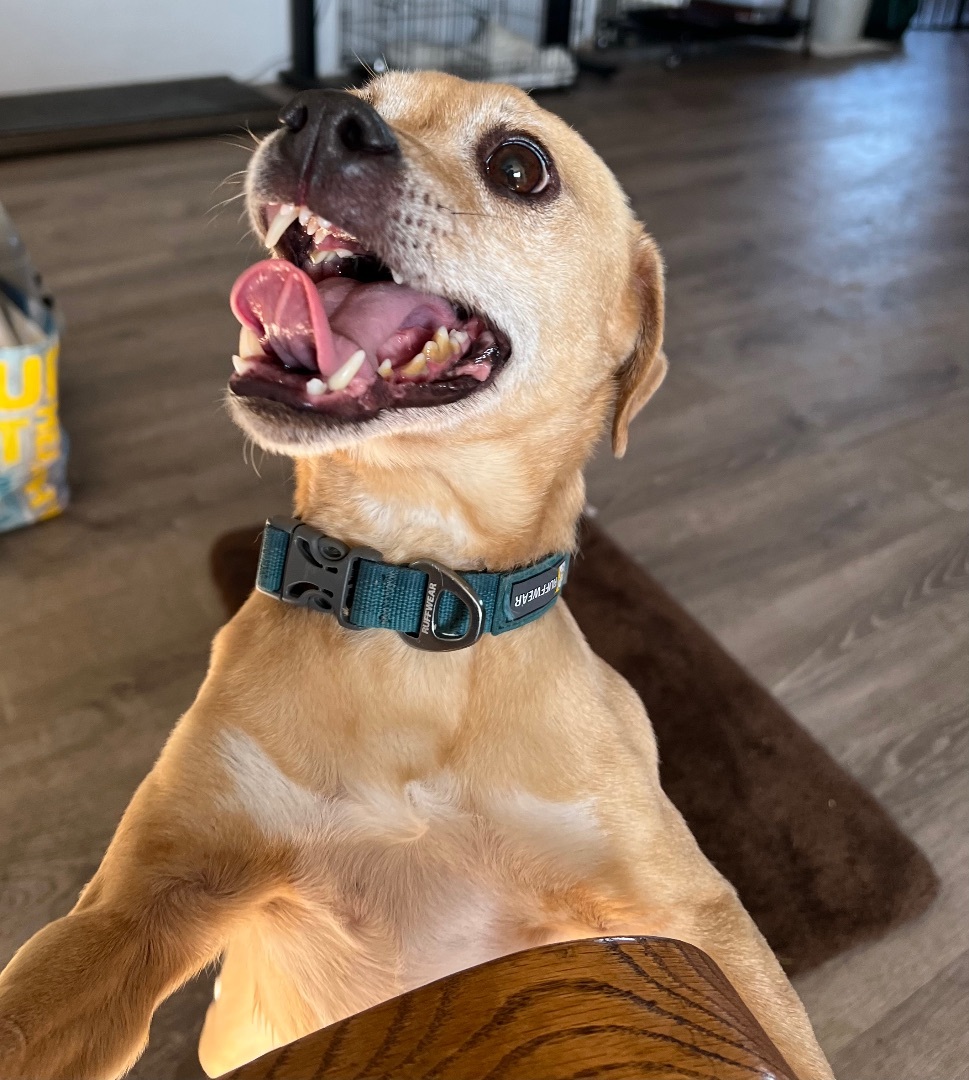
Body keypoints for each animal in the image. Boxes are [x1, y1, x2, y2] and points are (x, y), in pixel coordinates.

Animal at [0, 76, 829, 1080]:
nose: (318, 118)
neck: (413, 592)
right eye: (361, 82)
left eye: (520, 165)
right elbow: (27, 1011)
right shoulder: (140, 903)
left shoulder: (693, 917)